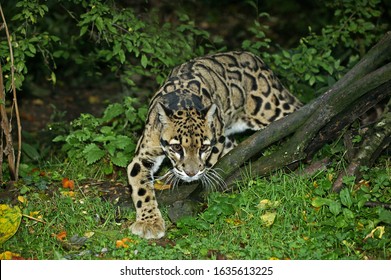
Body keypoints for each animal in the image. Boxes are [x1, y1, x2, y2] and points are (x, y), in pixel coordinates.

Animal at [127, 50, 302, 238]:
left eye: (203, 147)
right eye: (176, 147)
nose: (191, 173)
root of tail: (256, 59)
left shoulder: (218, 139)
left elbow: (209, 163)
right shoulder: (143, 155)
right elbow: (141, 188)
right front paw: (149, 222)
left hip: (270, 109)